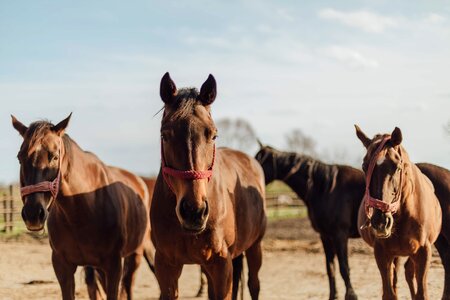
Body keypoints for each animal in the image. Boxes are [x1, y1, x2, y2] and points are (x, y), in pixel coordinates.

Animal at [11, 115, 151, 300]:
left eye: (54, 157)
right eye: (20, 157)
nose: (33, 214)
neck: (82, 211)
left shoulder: (114, 266)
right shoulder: (62, 266)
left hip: (135, 255)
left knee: (128, 287)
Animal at [150, 72, 268, 300]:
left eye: (213, 134)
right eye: (164, 135)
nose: (193, 211)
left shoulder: (221, 264)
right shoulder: (166, 266)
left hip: (255, 246)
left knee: (254, 284)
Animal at [255, 144, 364, 300]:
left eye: (259, 161)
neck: (326, 188)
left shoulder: (340, 235)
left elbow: (344, 267)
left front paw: (351, 295)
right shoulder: (326, 236)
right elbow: (330, 268)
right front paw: (333, 296)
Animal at [356, 125, 442, 298]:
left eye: (397, 167)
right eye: (364, 167)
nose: (380, 222)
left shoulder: (423, 253)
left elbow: (422, 294)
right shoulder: (382, 254)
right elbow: (389, 293)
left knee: (408, 272)